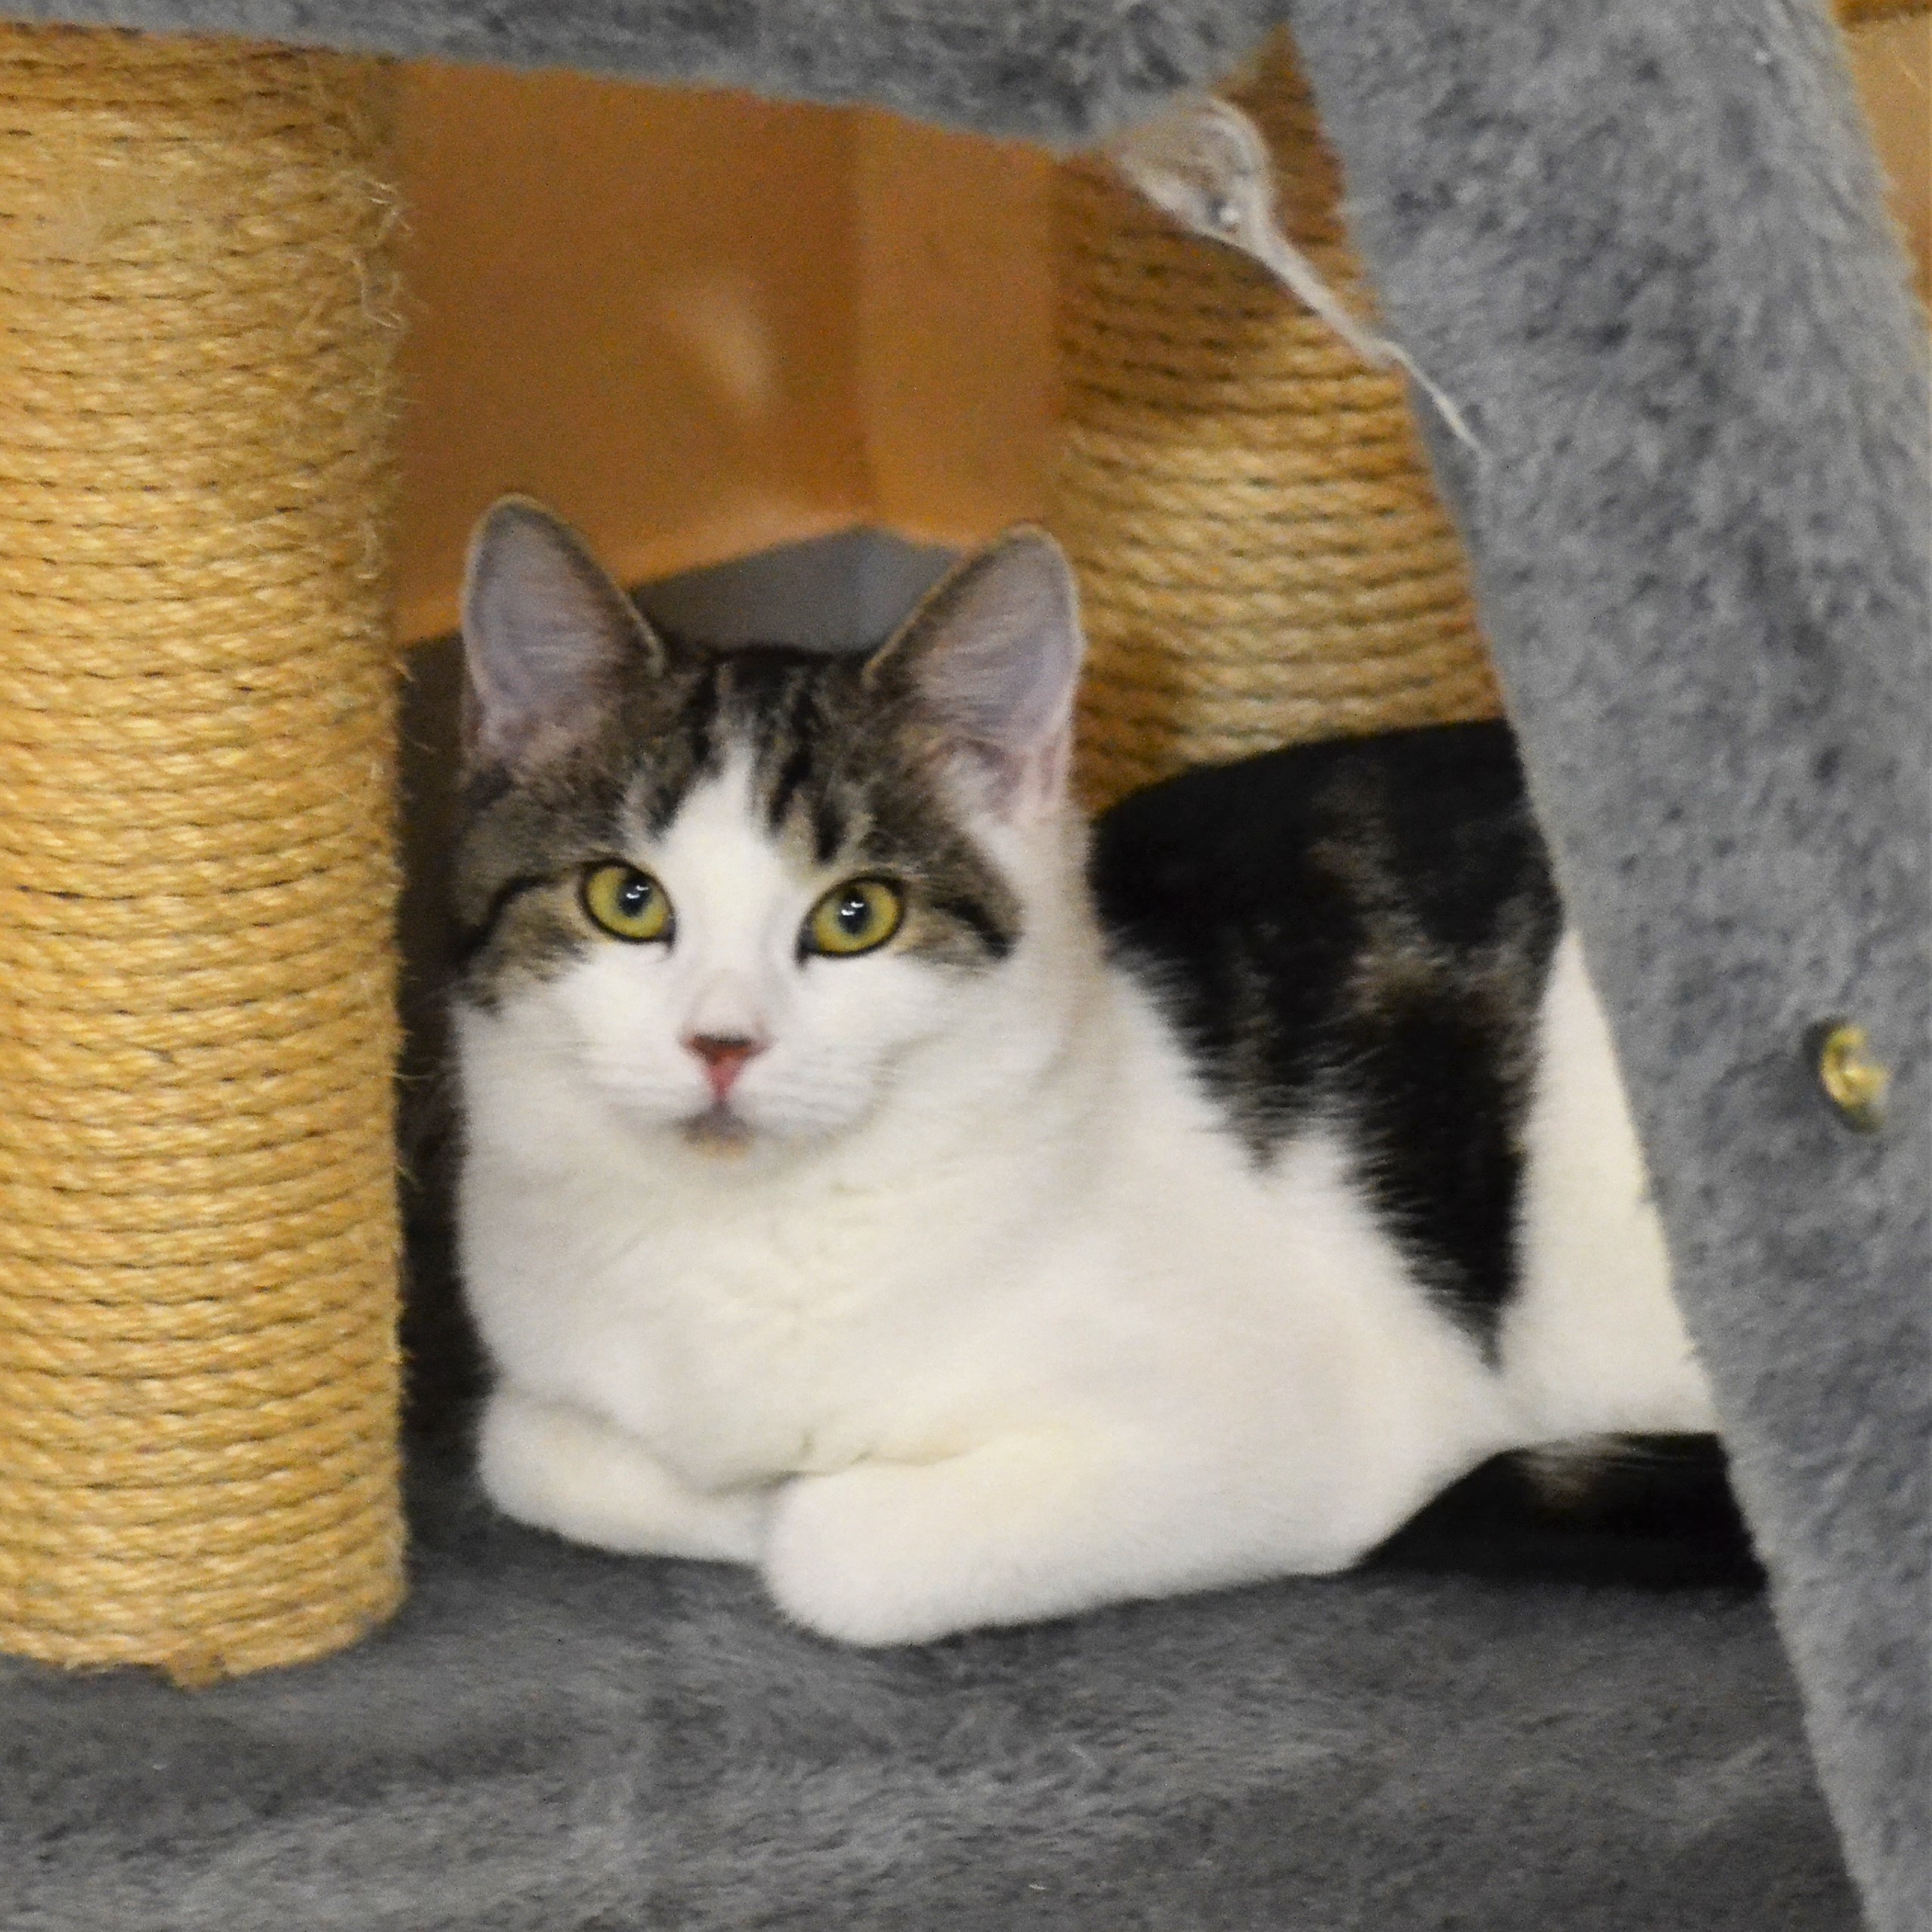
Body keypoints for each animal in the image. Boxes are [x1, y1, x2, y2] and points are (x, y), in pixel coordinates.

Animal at [449, 495, 1748, 1647]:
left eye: (857, 915)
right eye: (626, 900)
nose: (721, 1043)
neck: (742, 1233)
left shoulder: (1322, 1427)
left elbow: (827, 1548)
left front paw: (789, 1499)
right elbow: (523, 1446)